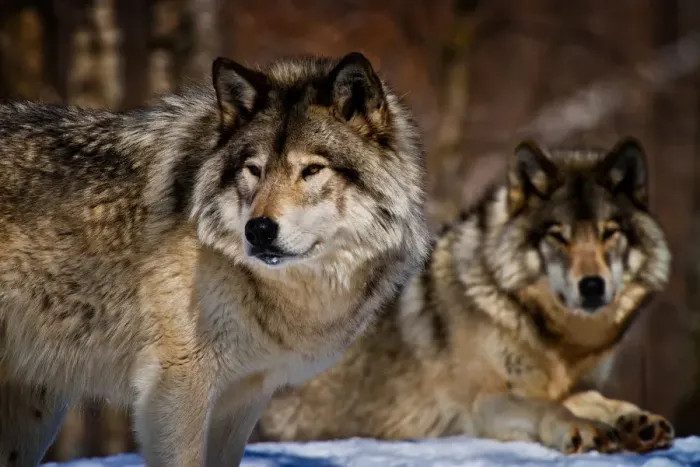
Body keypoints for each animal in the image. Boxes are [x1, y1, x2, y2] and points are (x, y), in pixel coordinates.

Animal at [256, 137, 674, 455]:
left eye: (609, 233)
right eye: (558, 235)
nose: (592, 286)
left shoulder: (561, 385)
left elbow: (591, 400)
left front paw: (635, 420)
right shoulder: (484, 405)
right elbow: (549, 410)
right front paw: (584, 428)